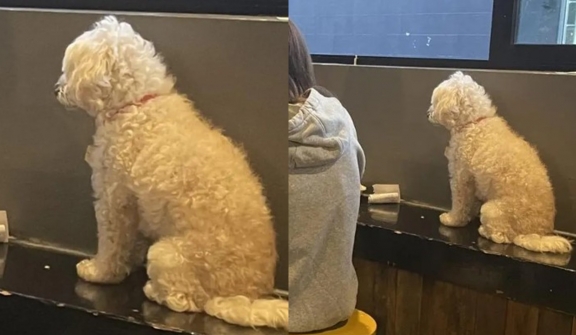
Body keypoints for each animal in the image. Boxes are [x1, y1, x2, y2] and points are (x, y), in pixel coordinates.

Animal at [54, 15, 288, 328]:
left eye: (69, 68)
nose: (56, 89)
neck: (137, 104)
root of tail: (243, 295)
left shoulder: (114, 198)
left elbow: (112, 242)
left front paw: (100, 271)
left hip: (166, 254)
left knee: (187, 302)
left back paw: (154, 291)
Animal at [428, 71, 572, 255]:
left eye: (435, 101)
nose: (429, 113)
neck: (475, 122)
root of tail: (534, 233)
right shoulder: (473, 181)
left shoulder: (461, 177)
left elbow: (460, 203)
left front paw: (452, 219)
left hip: (491, 210)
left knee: (502, 237)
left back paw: (485, 231)